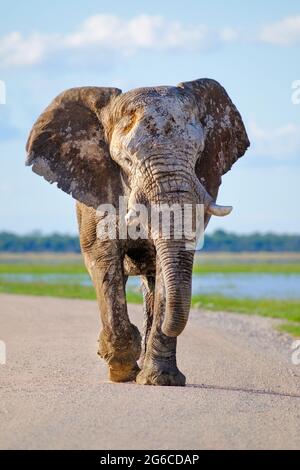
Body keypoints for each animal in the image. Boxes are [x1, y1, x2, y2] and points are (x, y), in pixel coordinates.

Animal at [25, 78, 248, 386]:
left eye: (197, 154)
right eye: (127, 160)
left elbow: (167, 270)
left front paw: (160, 380)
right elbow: (103, 258)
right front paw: (120, 370)